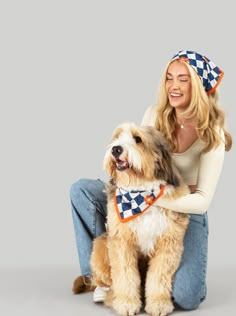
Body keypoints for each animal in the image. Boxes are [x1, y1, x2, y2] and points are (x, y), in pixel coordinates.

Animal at [90, 123, 190, 316]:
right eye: (117, 137)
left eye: (138, 139)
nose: (116, 149)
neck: (140, 193)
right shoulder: (122, 242)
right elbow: (125, 275)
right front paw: (126, 303)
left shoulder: (168, 243)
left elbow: (159, 276)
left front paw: (158, 303)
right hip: (100, 245)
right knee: (105, 278)